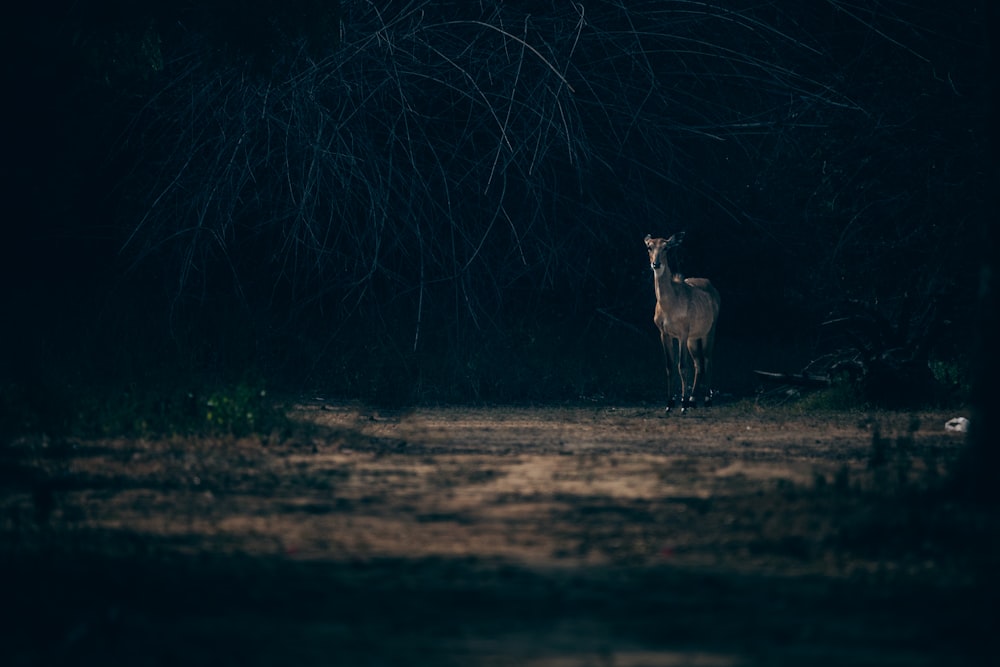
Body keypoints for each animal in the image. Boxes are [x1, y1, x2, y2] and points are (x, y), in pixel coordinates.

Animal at [644, 234, 724, 412]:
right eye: (649, 247)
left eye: (666, 247)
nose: (656, 264)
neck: (669, 305)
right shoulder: (664, 333)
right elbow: (669, 365)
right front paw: (669, 404)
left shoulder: (682, 333)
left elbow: (682, 366)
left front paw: (683, 404)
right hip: (694, 338)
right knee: (699, 364)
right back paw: (693, 399)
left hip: (709, 331)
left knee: (708, 359)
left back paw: (706, 400)